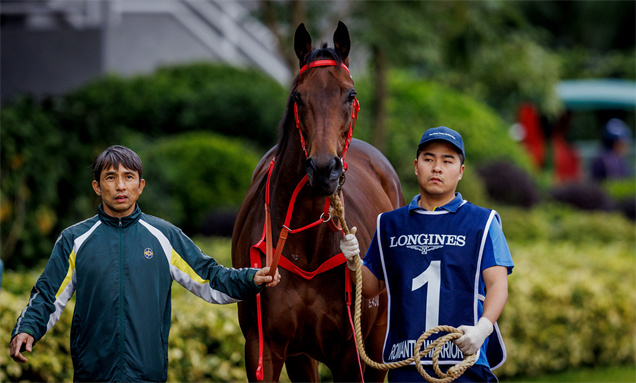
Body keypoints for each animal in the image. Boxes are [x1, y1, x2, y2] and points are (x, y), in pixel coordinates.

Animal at [231, 22, 404, 382]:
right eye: (298, 96)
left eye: (350, 94)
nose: (325, 169)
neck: (308, 246)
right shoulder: (263, 347)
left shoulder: (351, 355)